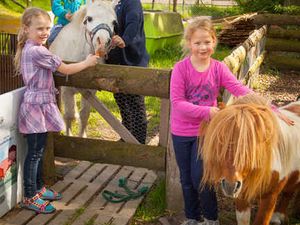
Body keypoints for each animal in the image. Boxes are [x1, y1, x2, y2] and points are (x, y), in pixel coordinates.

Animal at [49, 0, 116, 137]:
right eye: (89, 19)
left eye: (113, 22)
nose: (102, 42)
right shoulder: (67, 90)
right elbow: (69, 116)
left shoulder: (90, 92)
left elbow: (84, 116)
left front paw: (82, 137)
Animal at [200, 94, 300, 225]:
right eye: (221, 140)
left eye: (251, 143)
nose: (230, 186)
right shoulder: (241, 196)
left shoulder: (270, 197)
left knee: (289, 192)